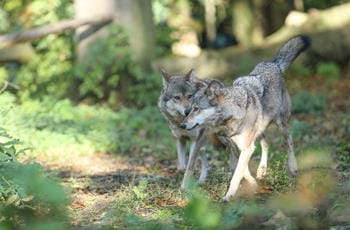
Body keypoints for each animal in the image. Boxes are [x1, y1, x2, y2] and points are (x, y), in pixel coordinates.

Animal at [180, 35, 312, 200]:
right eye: (189, 109)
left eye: (197, 109)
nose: (182, 125)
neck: (229, 118)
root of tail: (273, 64)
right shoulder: (237, 147)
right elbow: (242, 170)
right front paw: (253, 184)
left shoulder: (246, 147)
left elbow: (238, 173)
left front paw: (228, 196)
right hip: (260, 129)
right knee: (266, 144)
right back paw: (262, 171)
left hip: (281, 123)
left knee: (290, 141)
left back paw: (293, 167)